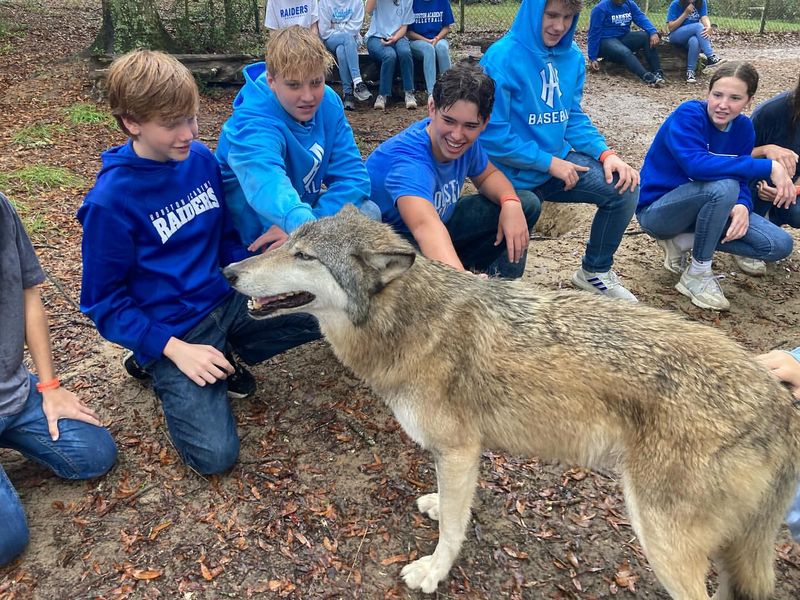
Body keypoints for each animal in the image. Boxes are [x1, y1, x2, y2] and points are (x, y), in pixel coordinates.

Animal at [222, 204, 800, 596]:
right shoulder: (460, 456)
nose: (228, 272)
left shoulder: (458, 450)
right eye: (288, 242)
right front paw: (438, 505)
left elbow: (454, 529)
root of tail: (780, 406)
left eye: (304, 256)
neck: (407, 322)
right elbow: (452, 506)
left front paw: (433, 572)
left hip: (662, 541)